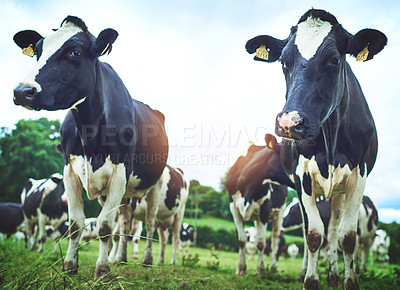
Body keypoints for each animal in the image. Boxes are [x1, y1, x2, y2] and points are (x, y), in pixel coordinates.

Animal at [12, 16, 167, 278]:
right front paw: (69, 266)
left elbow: (104, 226)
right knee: (124, 223)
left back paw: (145, 260)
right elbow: (76, 224)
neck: (90, 131)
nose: (23, 91)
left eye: (74, 52)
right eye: (38, 51)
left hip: (155, 185)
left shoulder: (120, 173)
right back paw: (120, 258)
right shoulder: (69, 171)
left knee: (150, 222)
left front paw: (102, 270)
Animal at [227, 134, 296, 274]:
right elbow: (241, 239)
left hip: (279, 214)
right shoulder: (233, 207)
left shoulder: (265, 210)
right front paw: (241, 269)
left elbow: (260, 243)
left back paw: (273, 268)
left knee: (275, 242)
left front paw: (261, 269)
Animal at [245, 8, 386, 288]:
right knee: (313, 230)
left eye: (334, 59)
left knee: (333, 233)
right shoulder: (302, 176)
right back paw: (308, 272)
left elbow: (347, 237)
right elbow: (312, 234)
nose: (290, 122)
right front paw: (310, 280)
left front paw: (349, 280)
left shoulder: (359, 175)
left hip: (338, 192)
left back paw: (333, 273)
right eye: (283, 61)